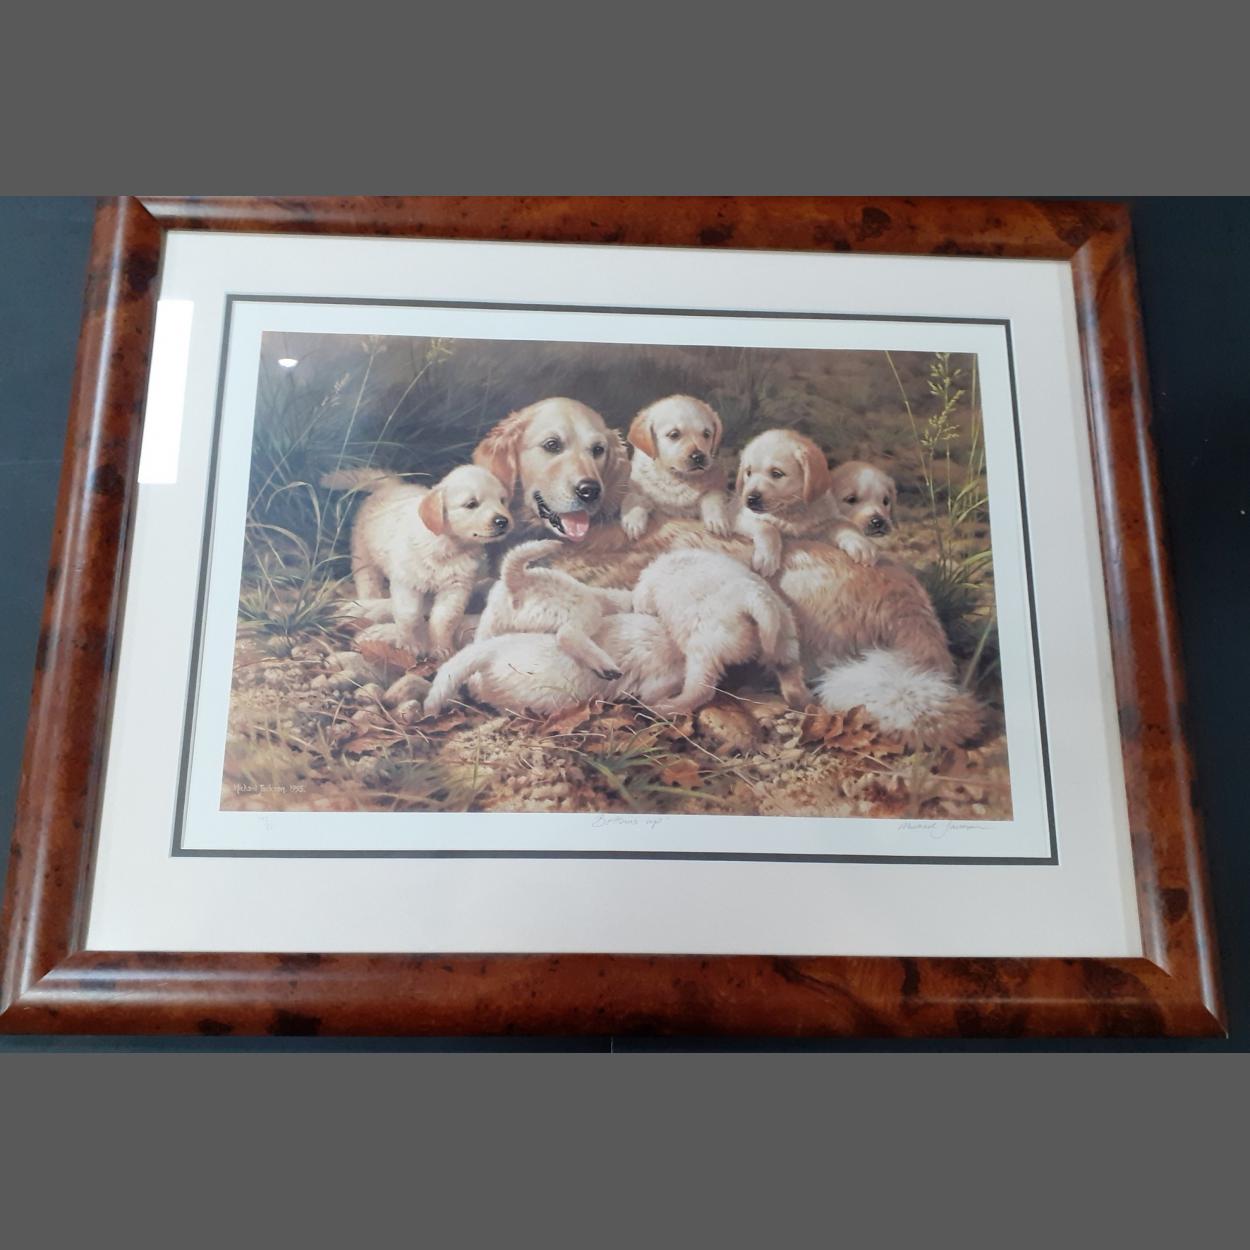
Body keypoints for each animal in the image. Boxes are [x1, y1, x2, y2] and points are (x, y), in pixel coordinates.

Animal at [320, 464, 511, 659]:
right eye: (471, 504)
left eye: (502, 501)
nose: (502, 521)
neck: (446, 545)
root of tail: (391, 486)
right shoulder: (407, 582)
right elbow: (409, 615)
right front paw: (410, 645)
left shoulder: (456, 588)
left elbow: (444, 619)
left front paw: (441, 648)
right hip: (364, 554)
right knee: (368, 581)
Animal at [620, 395, 733, 540]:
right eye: (674, 434)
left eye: (706, 434)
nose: (699, 456)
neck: (678, 477)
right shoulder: (636, 488)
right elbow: (634, 498)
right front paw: (633, 521)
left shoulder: (717, 486)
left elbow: (713, 498)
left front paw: (718, 521)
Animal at [632, 549, 811, 716]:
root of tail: (755, 601)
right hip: (785, 638)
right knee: (791, 673)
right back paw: (802, 702)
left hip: (704, 654)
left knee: (700, 691)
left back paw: (665, 708)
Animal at [734, 429, 876, 577]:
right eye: (748, 472)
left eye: (776, 473)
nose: (750, 498)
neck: (791, 511)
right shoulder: (740, 518)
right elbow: (767, 527)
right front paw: (767, 558)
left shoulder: (820, 526)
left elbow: (842, 524)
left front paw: (861, 543)